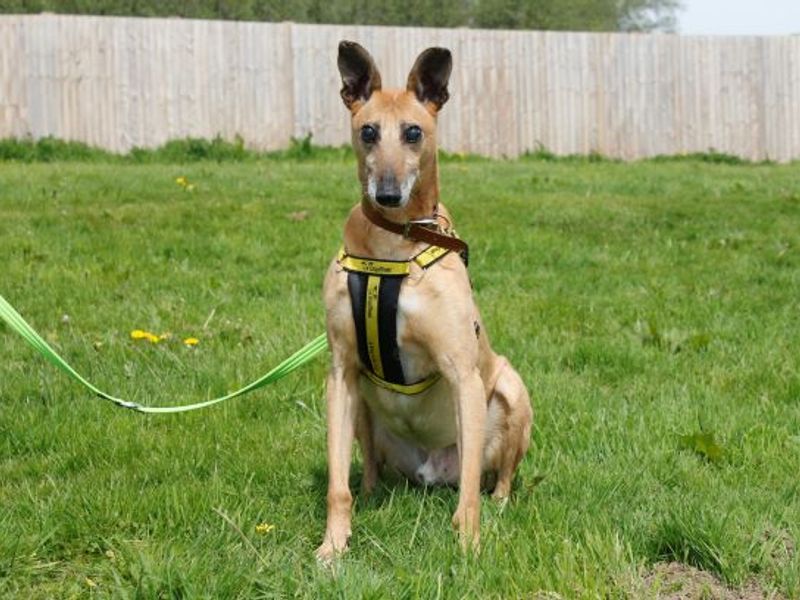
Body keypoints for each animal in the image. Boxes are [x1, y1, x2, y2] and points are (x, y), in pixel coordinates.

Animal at [318, 42, 532, 564]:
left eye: (413, 132)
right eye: (368, 132)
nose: (388, 194)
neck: (394, 247)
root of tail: (431, 471)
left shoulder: (462, 373)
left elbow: (470, 493)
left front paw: (470, 545)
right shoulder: (340, 373)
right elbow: (337, 484)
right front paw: (333, 545)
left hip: (511, 391)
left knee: (496, 478)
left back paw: (499, 504)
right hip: (364, 410)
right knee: (369, 471)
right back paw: (372, 493)